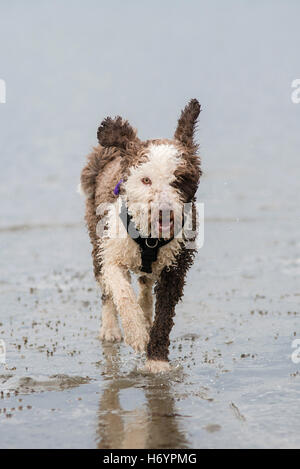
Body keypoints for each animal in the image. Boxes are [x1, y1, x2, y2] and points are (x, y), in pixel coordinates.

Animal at [79, 98, 202, 372]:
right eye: (146, 180)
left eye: (179, 179)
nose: (165, 212)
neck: (150, 237)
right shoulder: (112, 255)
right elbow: (122, 293)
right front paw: (136, 334)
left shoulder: (175, 266)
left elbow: (164, 314)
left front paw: (156, 360)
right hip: (95, 239)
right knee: (107, 290)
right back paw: (112, 329)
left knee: (145, 284)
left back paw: (145, 314)